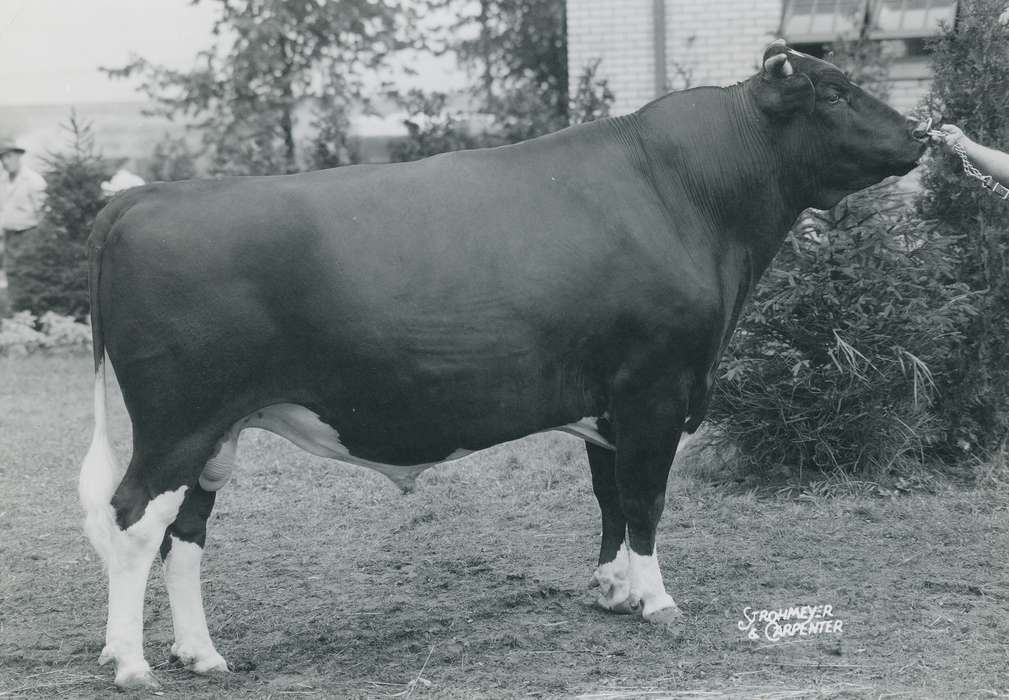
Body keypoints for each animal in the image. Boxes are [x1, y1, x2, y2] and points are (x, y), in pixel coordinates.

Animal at [79, 40, 930, 689]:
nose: (921, 132)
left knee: (184, 533)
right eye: (833, 91)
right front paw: (657, 603)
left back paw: (201, 655)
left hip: (215, 432)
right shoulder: (656, 387)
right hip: (178, 420)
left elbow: (610, 499)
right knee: (132, 519)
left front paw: (611, 590)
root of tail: (144, 197)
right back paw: (131, 664)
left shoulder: (609, 401)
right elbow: (646, 499)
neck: (692, 197)